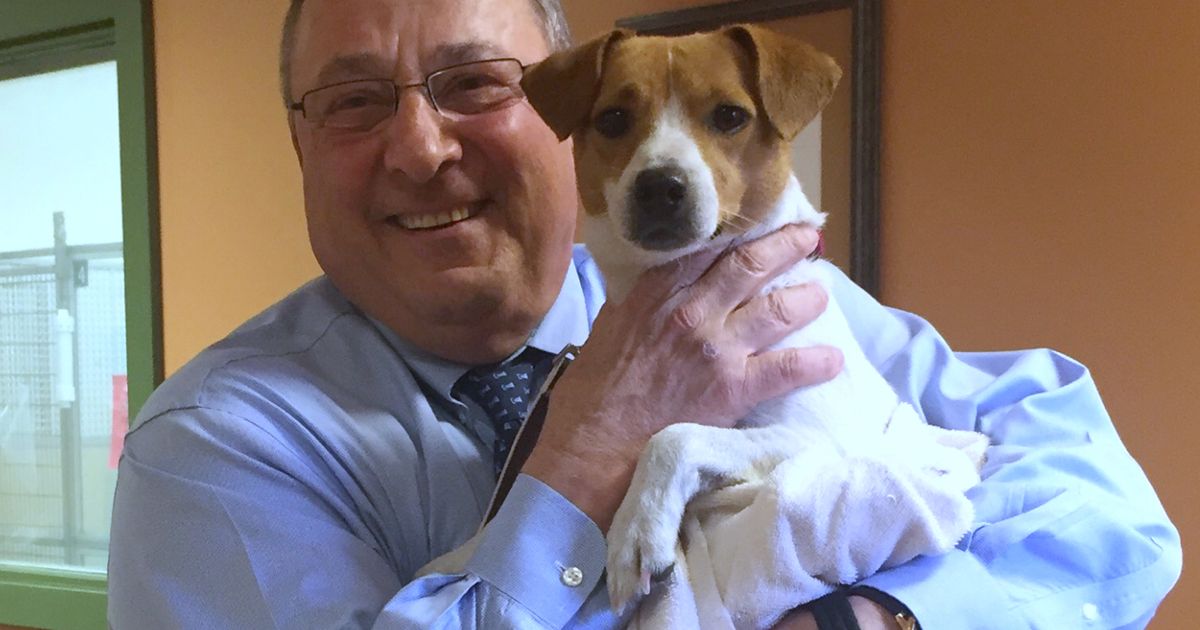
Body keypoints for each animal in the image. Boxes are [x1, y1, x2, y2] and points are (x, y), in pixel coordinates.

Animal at [520, 25, 990, 628]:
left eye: (729, 116)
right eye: (614, 118)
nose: (659, 186)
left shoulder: (819, 439)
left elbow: (674, 434)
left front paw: (635, 531)